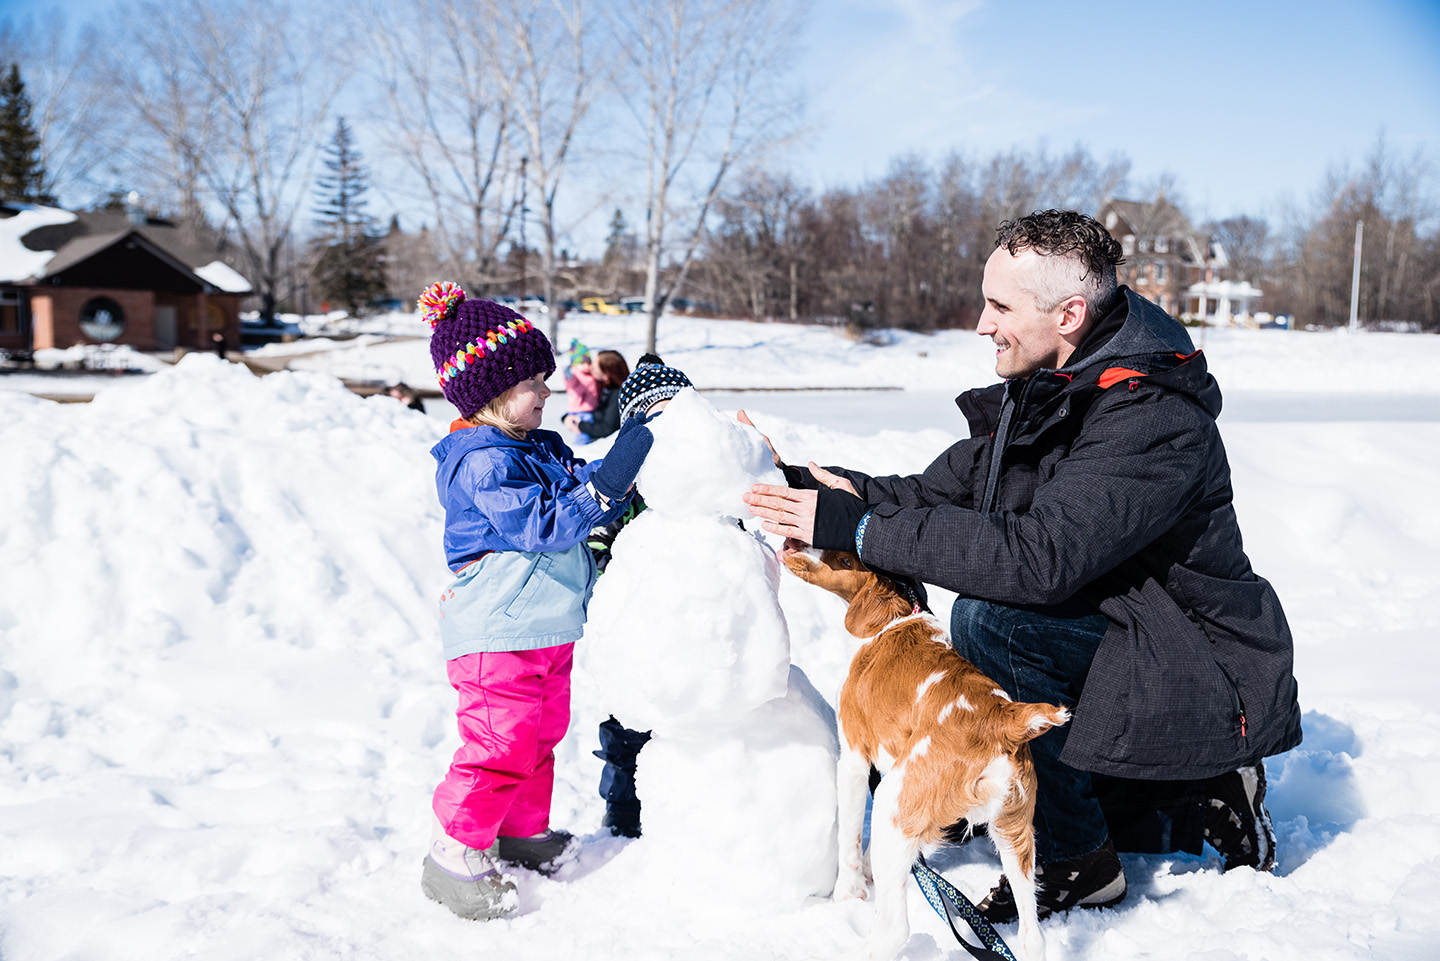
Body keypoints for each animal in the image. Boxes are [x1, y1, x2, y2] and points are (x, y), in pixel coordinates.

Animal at [789, 547, 1071, 961]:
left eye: (843, 559)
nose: (791, 546)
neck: (893, 618)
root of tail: (1005, 718)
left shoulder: (855, 758)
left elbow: (850, 837)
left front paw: (848, 893)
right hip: (1013, 830)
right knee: (1032, 937)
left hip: (895, 799)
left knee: (894, 930)